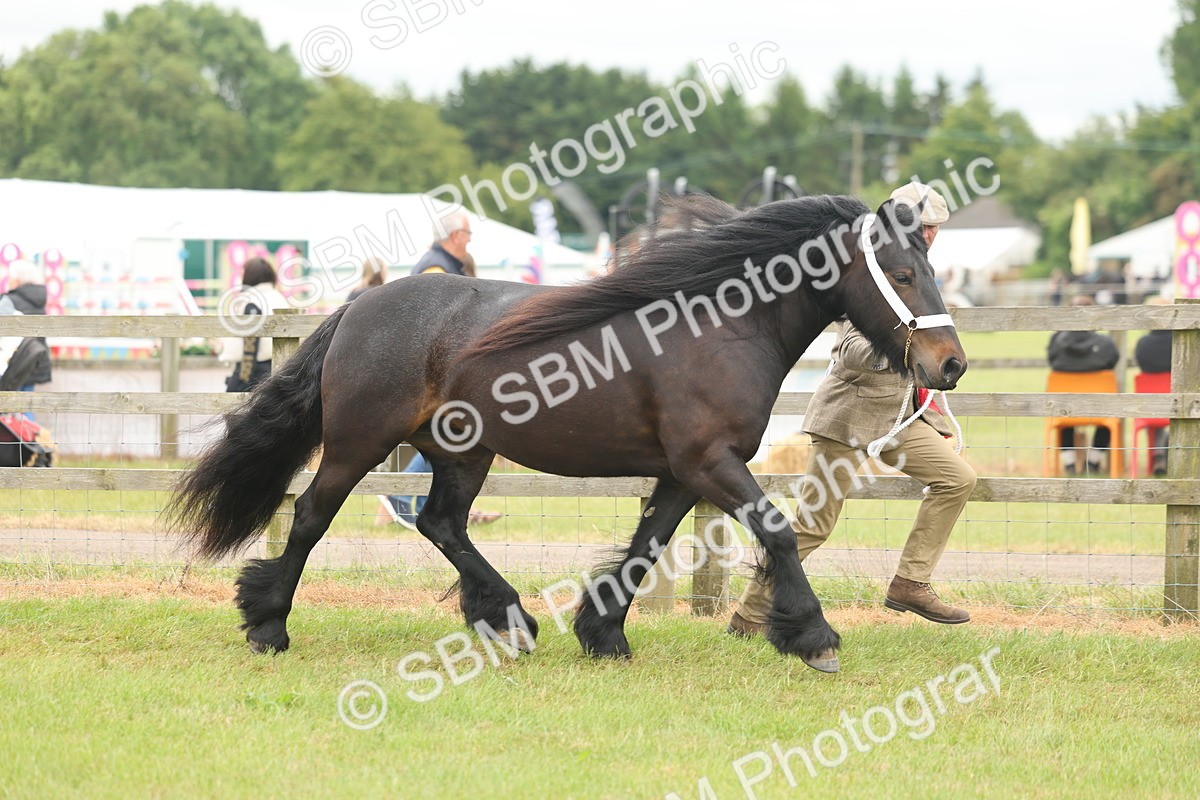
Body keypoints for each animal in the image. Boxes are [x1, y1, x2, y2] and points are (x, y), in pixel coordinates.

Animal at [169, 194, 966, 671]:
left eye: (931, 265)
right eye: (901, 271)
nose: (950, 364)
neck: (722, 328)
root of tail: (359, 308)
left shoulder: (682, 473)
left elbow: (648, 546)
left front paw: (603, 634)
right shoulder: (710, 463)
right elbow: (774, 533)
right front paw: (813, 637)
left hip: (463, 452)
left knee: (442, 524)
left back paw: (508, 620)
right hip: (359, 444)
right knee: (310, 515)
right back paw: (268, 625)